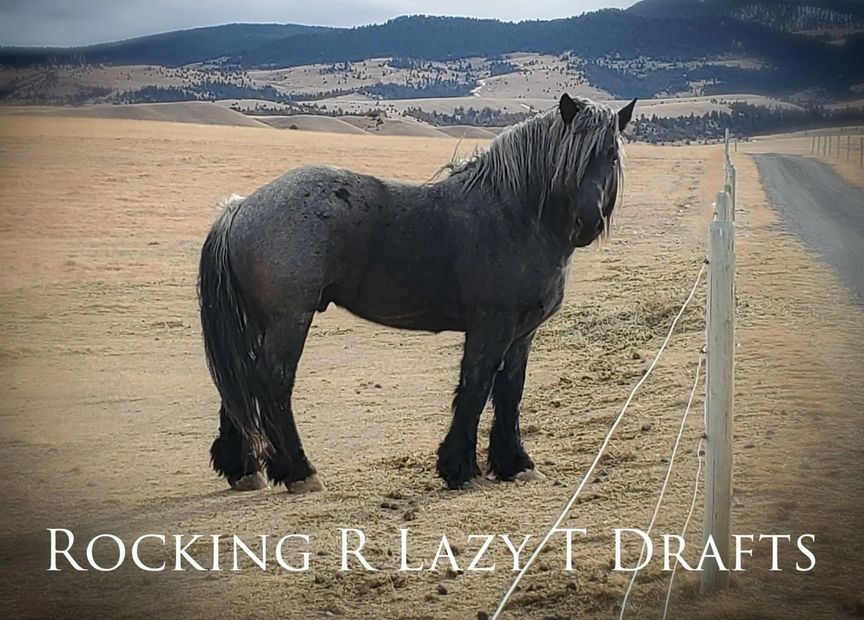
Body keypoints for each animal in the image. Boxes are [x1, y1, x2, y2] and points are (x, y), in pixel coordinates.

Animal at [198, 94, 636, 492]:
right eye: (573, 157)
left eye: (611, 155)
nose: (588, 222)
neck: (515, 214)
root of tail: (240, 208)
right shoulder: (490, 327)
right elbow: (476, 387)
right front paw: (461, 469)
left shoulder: (522, 333)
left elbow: (510, 392)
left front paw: (515, 464)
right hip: (289, 320)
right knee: (273, 382)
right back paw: (299, 472)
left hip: (259, 322)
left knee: (241, 382)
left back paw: (244, 470)